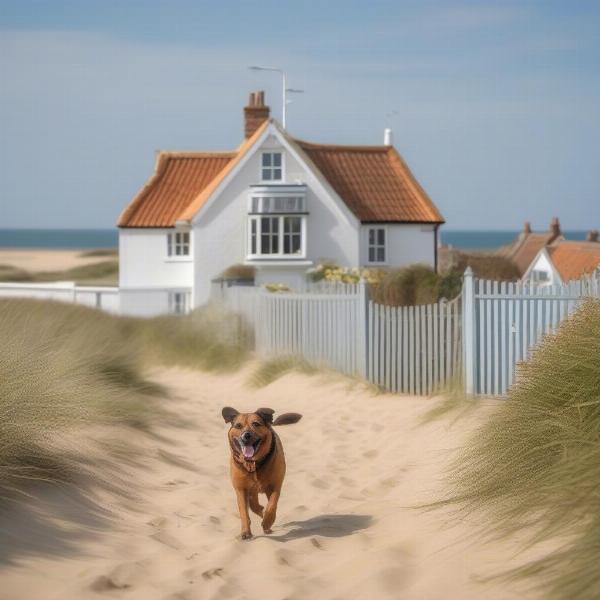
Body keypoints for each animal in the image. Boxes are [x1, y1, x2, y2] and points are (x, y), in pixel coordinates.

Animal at [223, 408, 302, 540]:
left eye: (256, 424)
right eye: (238, 426)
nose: (246, 435)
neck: (253, 464)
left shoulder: (274, 486)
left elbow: (272, 506)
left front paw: (267, 522)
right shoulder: (241, 489)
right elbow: (244, 512)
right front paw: (245, 532)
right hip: (251, 490)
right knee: (254, 505)